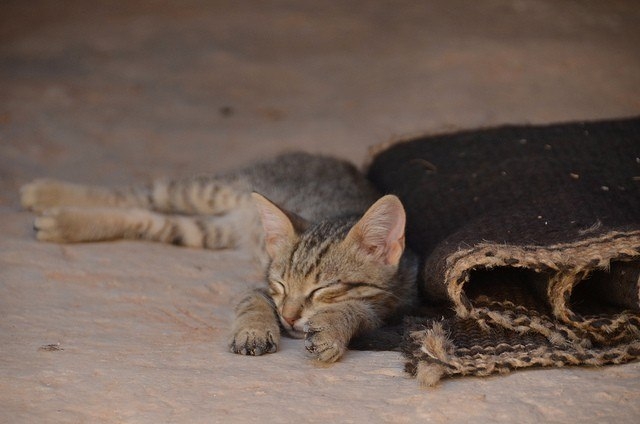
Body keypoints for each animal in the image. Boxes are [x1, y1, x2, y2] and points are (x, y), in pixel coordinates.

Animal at [20, 152, 418, 362]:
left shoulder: (388, 310)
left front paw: (332, 329)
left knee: (145, 216)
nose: (289, 318)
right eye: (279, 284)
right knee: (138, 194)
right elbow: (252, 302)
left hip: (202, 230)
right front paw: (254, 330)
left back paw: (62, 222)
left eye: (322, 290)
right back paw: (46, 194)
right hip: (211, 190)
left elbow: (356, 311)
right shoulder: (256, 284)